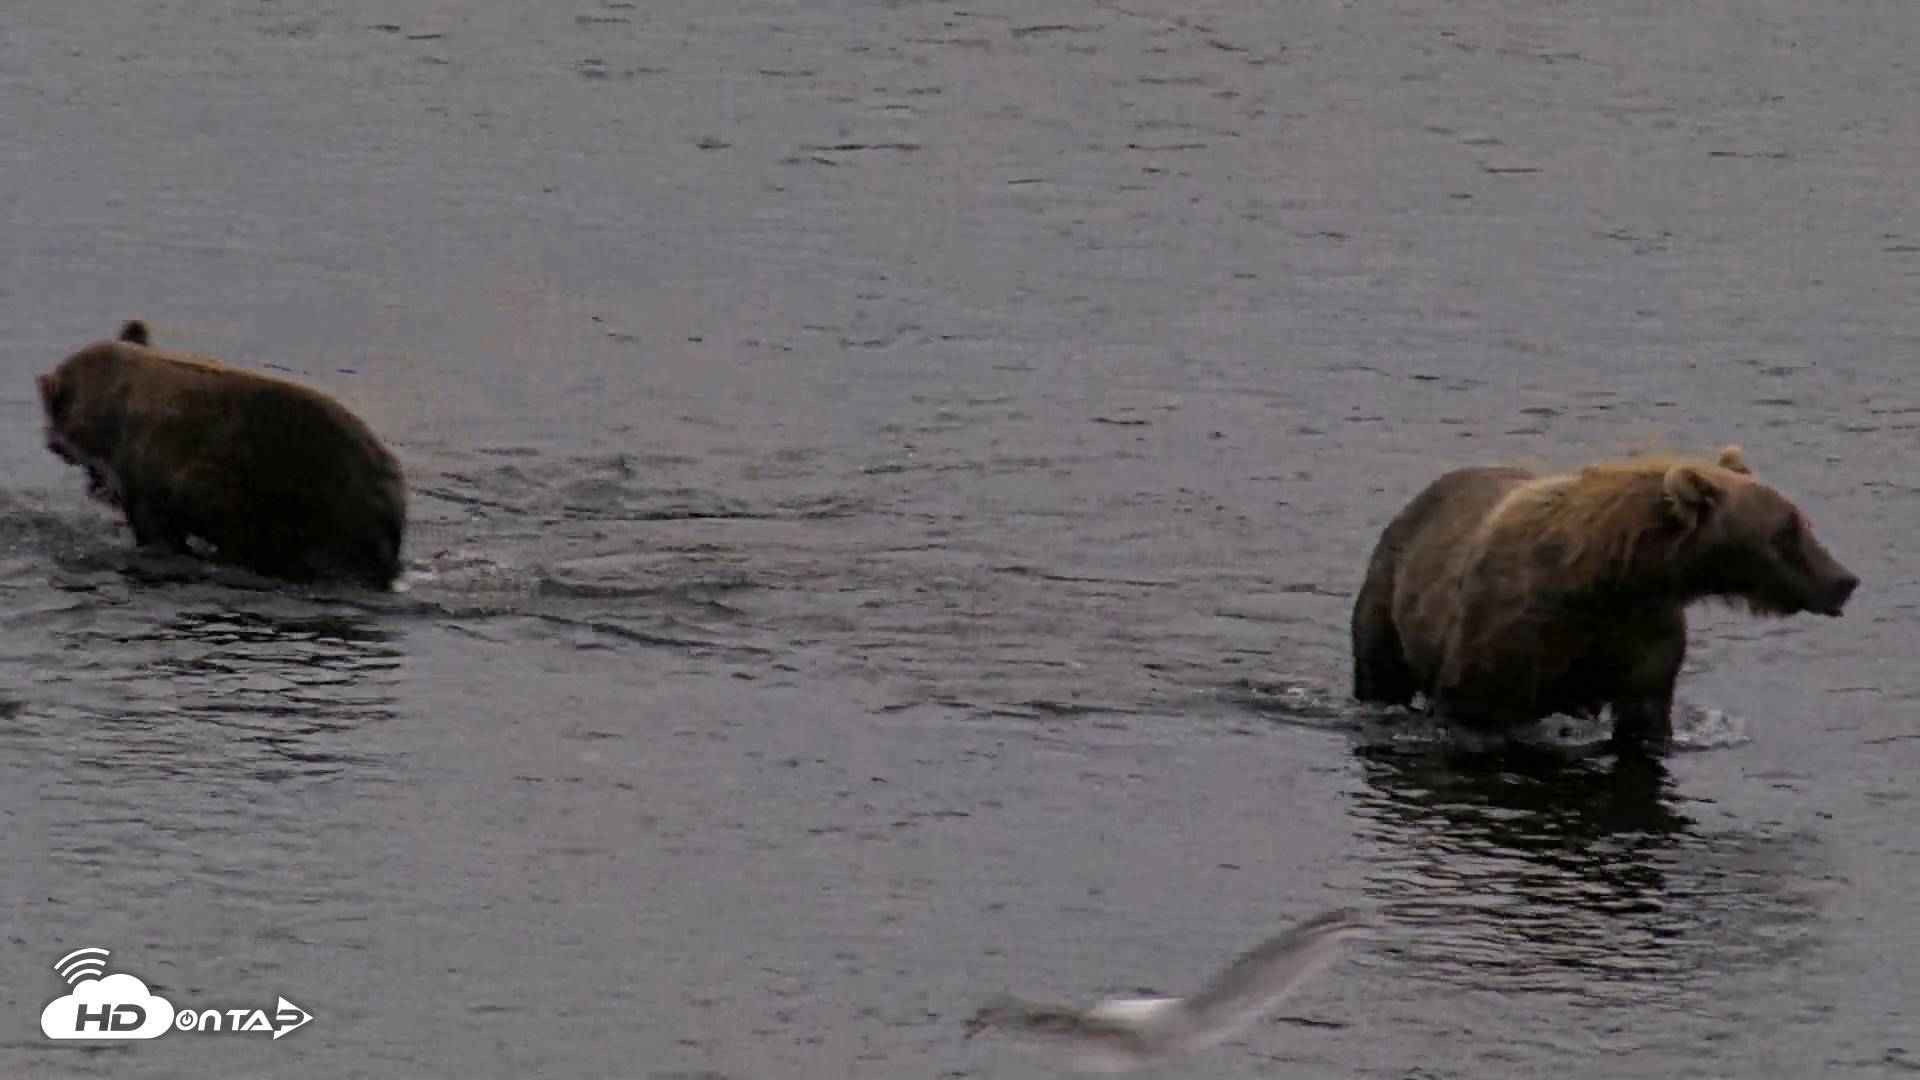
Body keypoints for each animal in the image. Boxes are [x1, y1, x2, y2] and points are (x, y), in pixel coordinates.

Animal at [1349, 446, 1858, 754]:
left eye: (1800, 521)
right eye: (1786, 531)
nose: (1844, 580)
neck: (1614, 576)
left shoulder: (1642, 632)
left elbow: (1644, 714)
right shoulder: (1510, 632)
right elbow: (1473, 709)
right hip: (1388, 591)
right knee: (1380, 671)